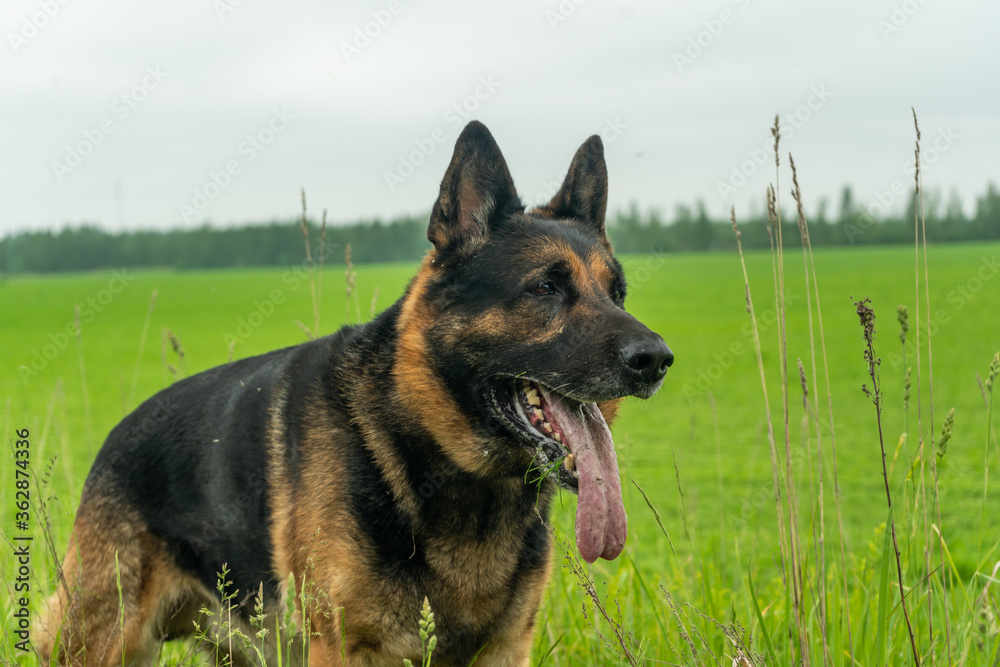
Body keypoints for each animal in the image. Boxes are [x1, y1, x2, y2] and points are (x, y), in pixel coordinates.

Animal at [37, 122, 672, 664]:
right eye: (545, 288)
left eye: (617, 293)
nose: (657, 361)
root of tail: (119, 432)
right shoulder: (349, 648)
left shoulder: (505, 648)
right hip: (105, 639)